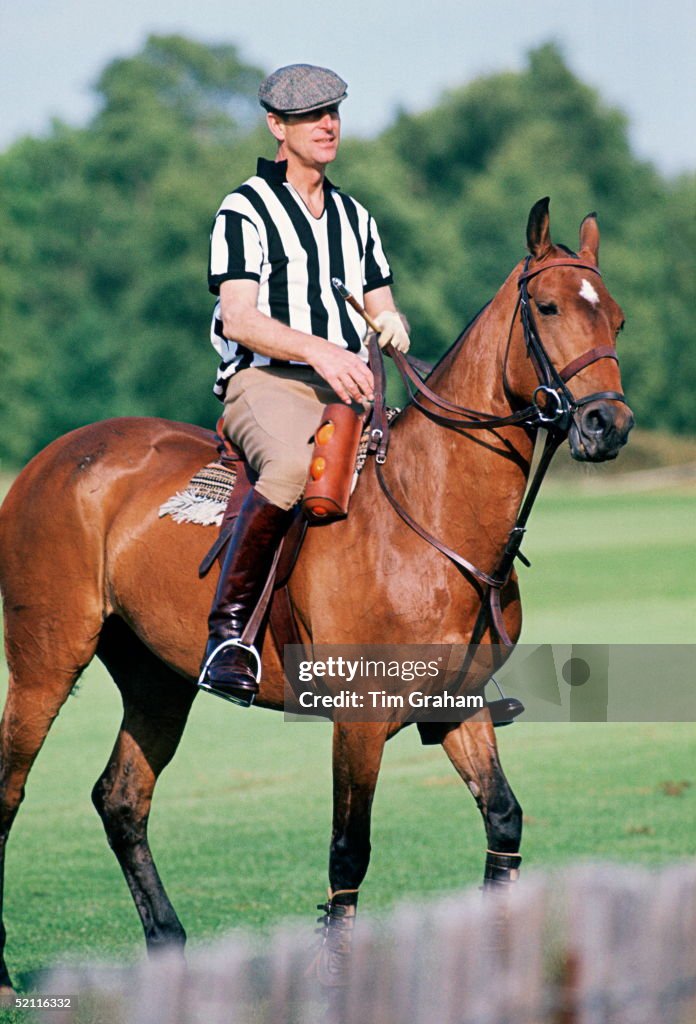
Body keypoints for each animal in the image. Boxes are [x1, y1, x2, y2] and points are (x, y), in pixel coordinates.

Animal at [0, 195, 634, 987]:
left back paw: (169, 948)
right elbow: (348, 852)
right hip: (46, 658)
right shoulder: (358, 719)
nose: (609, 424)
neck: (433, 513)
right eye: (547, 307)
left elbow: (504, 818)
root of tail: (47, 459)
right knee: (12, 787)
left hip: (156, 674)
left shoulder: (457, 706)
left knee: (121, 797)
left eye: (617, 319)